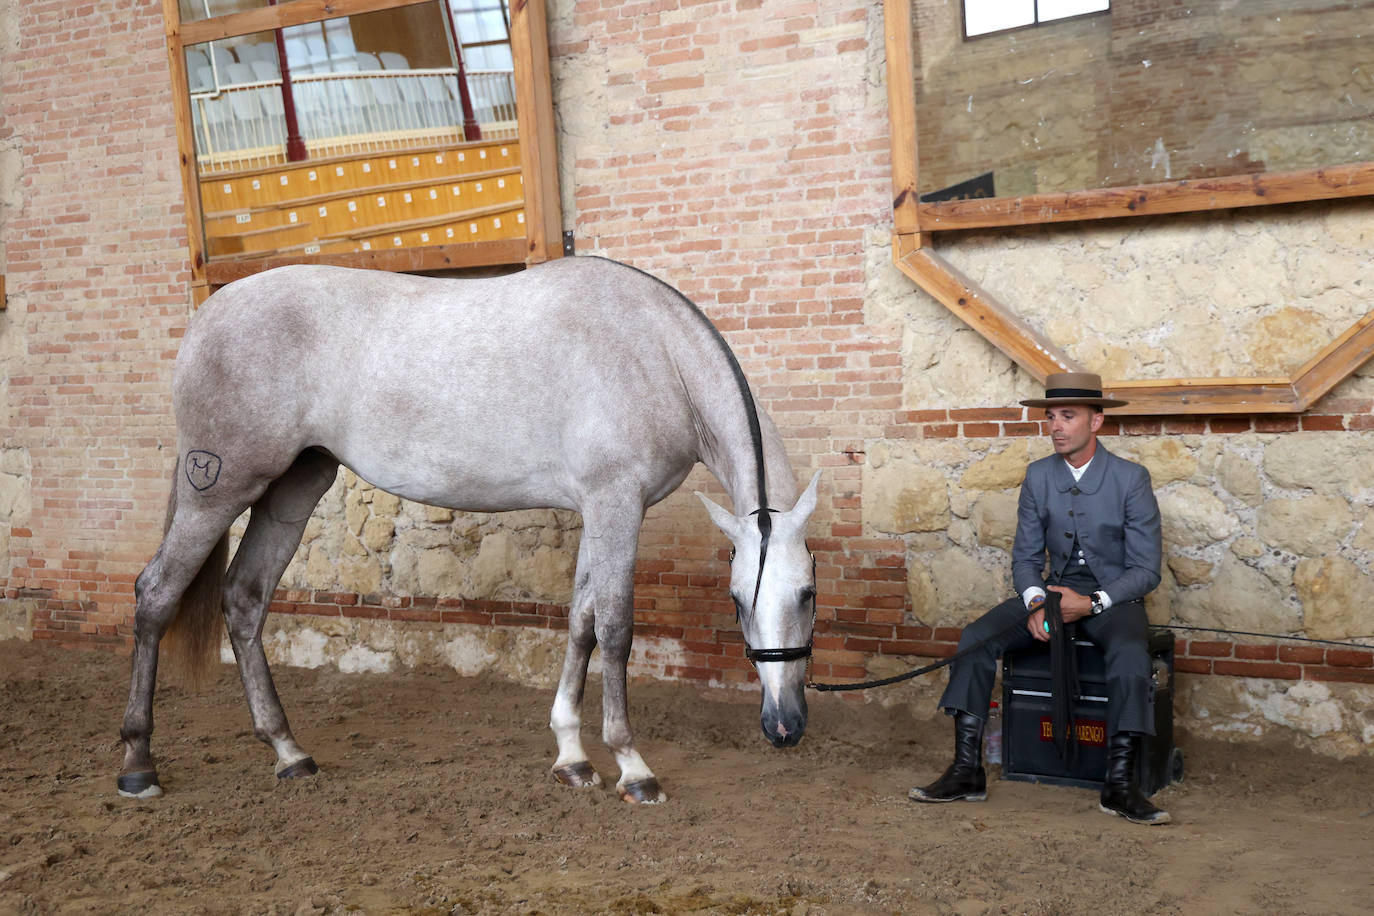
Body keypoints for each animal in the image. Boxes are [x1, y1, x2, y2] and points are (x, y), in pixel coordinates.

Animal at [118, 256, 821, 804]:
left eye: (807, 595)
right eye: (737, 600)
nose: (785, 726)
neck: (654, 353)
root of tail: (207, 318)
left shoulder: (602, 508)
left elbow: (582, 623)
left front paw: (572, 757)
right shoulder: (616, 502)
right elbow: (617, 629)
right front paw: (632, 767)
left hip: (293, 488)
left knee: (244, 598)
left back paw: (289, 752)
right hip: (218, 487)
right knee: (156, 594)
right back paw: (137, 765)